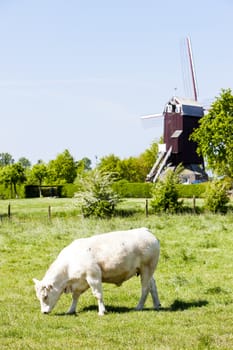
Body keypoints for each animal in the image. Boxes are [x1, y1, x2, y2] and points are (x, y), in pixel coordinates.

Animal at [32, 227, 160, 314]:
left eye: (45, 296)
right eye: (38, 297)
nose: (44, 312)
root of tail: (145, 230)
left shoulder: (93, 276)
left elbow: (98, 294)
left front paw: (102, 311)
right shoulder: (79, 282)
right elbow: (75, 296)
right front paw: (71, 310)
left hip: (147, 268)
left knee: (145, 288)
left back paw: (139, 306)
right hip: (146, 271)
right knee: (153, 285)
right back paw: (157, 304)